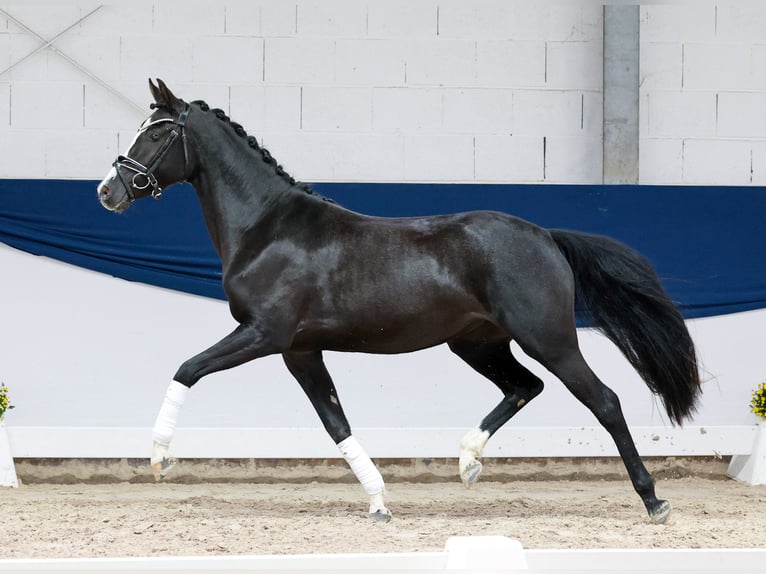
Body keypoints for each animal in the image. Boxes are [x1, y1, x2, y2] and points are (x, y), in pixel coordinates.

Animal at [97, 79, 700, 525]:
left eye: (157, 134)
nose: (108, 191)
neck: (267, 228)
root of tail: (546, 236)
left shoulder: (265, 335)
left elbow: (187, 368)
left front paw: (159, 457)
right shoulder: (299, 351)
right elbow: (335, 424)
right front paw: (380, 503)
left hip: (548, 339)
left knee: (605, 401)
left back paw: (653, 501)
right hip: (478, 344)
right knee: (525, 387)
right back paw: (467, 462)